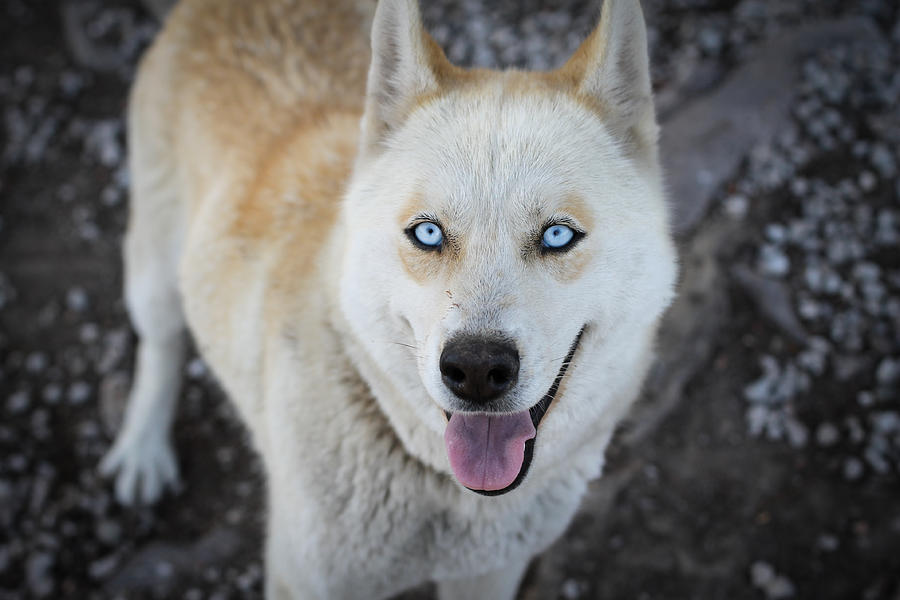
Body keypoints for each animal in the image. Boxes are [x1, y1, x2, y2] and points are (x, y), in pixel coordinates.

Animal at [98, 1, 676, 596]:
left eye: (558, 236)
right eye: (427, 233)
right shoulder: (305, 578)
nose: (476, 369)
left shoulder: (490, 572)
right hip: (155, 273)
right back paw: (143, 449)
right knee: (161, 343)